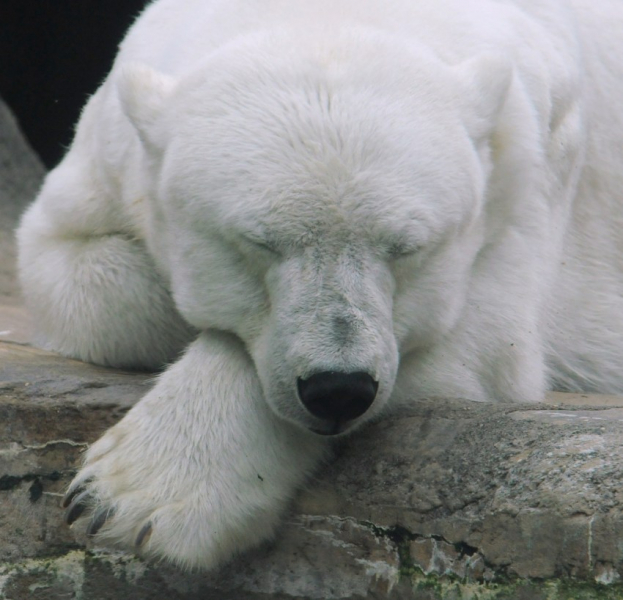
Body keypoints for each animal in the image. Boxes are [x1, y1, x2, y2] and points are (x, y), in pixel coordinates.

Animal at [15, 0, 623, 568]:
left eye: (405, 247)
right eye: (261, 242)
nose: (339, 387)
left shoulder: (527, 166)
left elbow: (490, 334)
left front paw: (128, 495)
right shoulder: (107, 156)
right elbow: (72, 268)